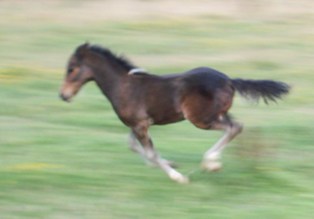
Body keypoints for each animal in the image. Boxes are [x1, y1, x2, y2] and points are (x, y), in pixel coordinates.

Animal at [59, 43, 290, 183]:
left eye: (71, 69)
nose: (63, 95)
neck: (123, 86)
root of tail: (229, 80)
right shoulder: (139, 124)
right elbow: (134, 146)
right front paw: (170, 163)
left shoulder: (140, 125)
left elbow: (150, 152)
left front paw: (177, 177)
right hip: (217, 114)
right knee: (235, 126)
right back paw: (214, 163)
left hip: (201, 119)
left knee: (234, 127)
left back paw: (210, 163)